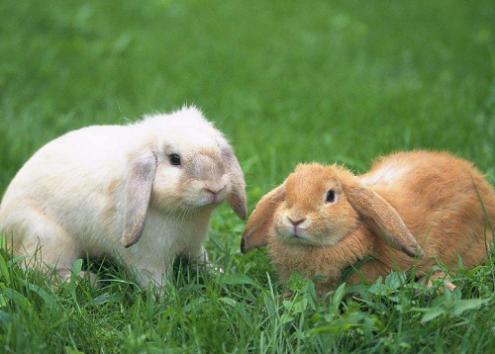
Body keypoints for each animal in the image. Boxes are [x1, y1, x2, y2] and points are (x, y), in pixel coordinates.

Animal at [0, 106, 247, 288]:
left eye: (218, 150)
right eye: (174, 159)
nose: (214, 188)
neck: (183, 215)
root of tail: (4, 224)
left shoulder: (194, 245)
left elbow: (201, 261)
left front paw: (219, 273)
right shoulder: (148, 259)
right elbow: (155, 283)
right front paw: (167, 304)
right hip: (49, 239)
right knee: (38, 271)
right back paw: (89, 281)